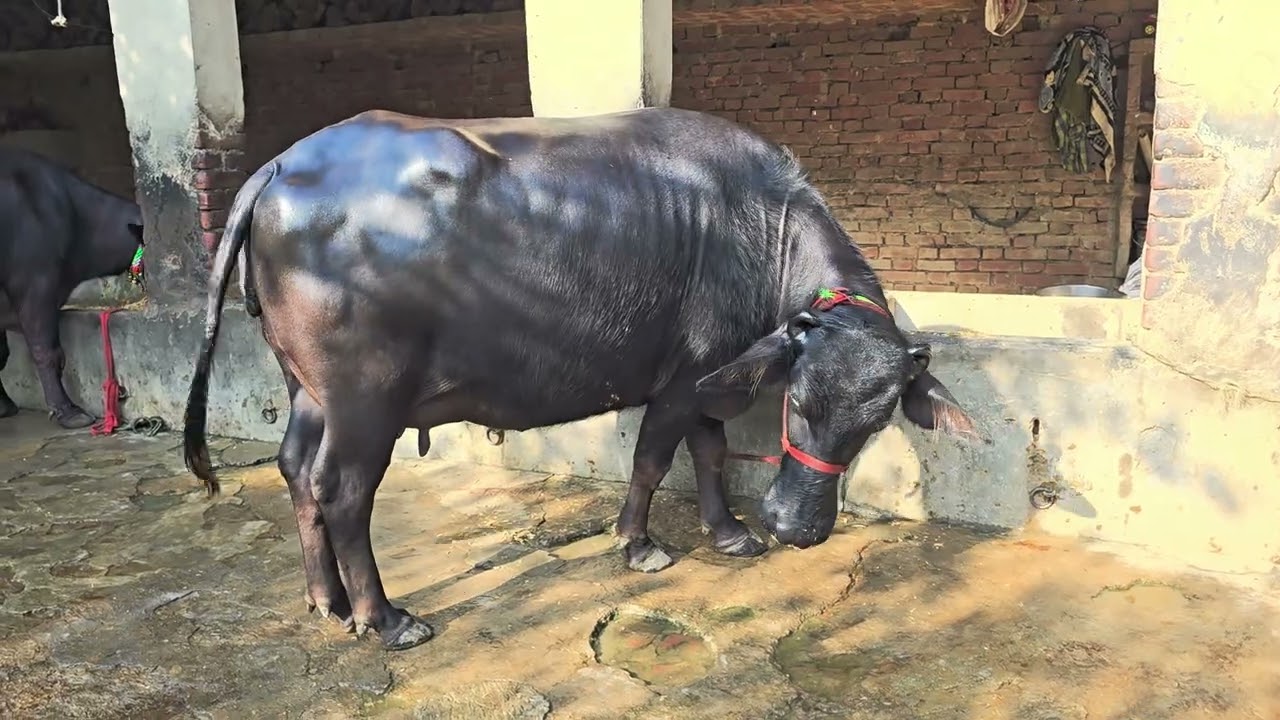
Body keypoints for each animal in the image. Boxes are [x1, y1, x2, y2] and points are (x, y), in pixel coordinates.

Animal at [183, 107, 977, 651]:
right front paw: (640, 544)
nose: (798, 529)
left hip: (306, 390)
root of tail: (283, 167)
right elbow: (654, 459)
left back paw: (329, 602)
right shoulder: (683, 382)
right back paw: (385, 618)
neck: (762, 231)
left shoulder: (710, 375)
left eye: (872, 423)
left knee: (295, 470)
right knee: (341, 491)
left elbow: (711, 452)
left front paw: (729, 534)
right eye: (801, 403)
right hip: (364, 403)